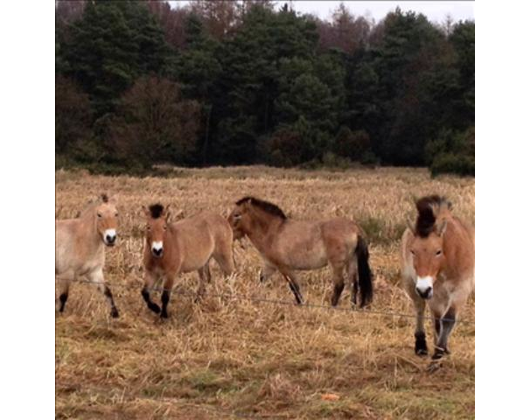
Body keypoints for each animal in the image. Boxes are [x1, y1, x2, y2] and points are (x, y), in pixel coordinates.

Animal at [227, 195, 372, 306]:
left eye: (236, 215)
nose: (227, 231)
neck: (273, 232)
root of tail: (355, 228)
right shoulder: (270, 266)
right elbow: (261, 281)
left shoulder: (285, 268)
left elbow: (294, 287)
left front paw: (301, 304)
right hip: (351, 261)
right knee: (354, 284)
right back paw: (352, 306)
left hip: (337, 264)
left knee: (339, 285)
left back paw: (333, 306)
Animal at [400, 195, 474, 366]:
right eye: (413, 251)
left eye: (438, 251)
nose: (423, 289)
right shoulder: (434, 293)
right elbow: (437, 320)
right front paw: (437, 353)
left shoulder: (461, 289)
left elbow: (448, 319)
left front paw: (440, 352)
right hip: (412, 285)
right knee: (420, 308)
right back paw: (421, 345)